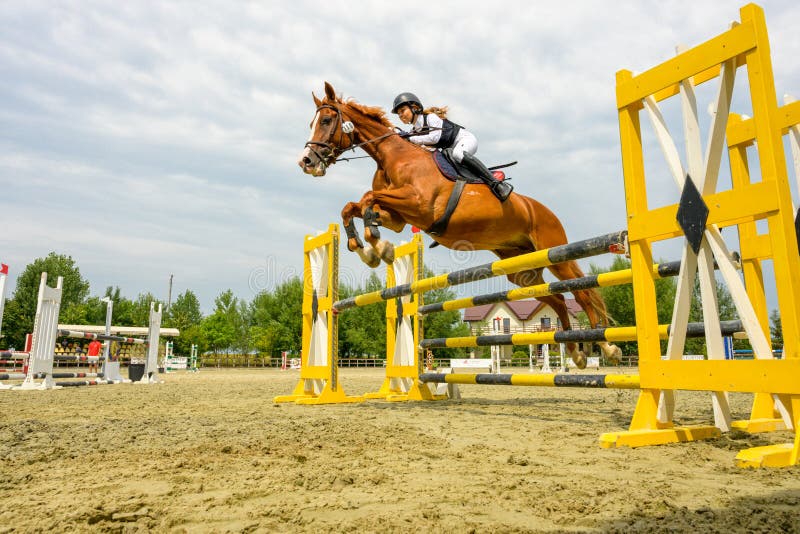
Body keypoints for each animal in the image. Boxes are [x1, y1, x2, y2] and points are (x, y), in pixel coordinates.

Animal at [296, 82, 620, 368]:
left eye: (326, 120)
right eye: (312, 122)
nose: (306, 161)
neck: (394, 157)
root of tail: (544, 210)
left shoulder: (418, 204)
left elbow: (367, 199)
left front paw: (378, 247)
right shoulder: (400, 218)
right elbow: (354, 207)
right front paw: (369, 248)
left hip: (555, 253)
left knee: (581, 292)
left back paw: (606, 346)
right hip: (523, 271)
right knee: (557, 298)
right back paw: (576, 352)